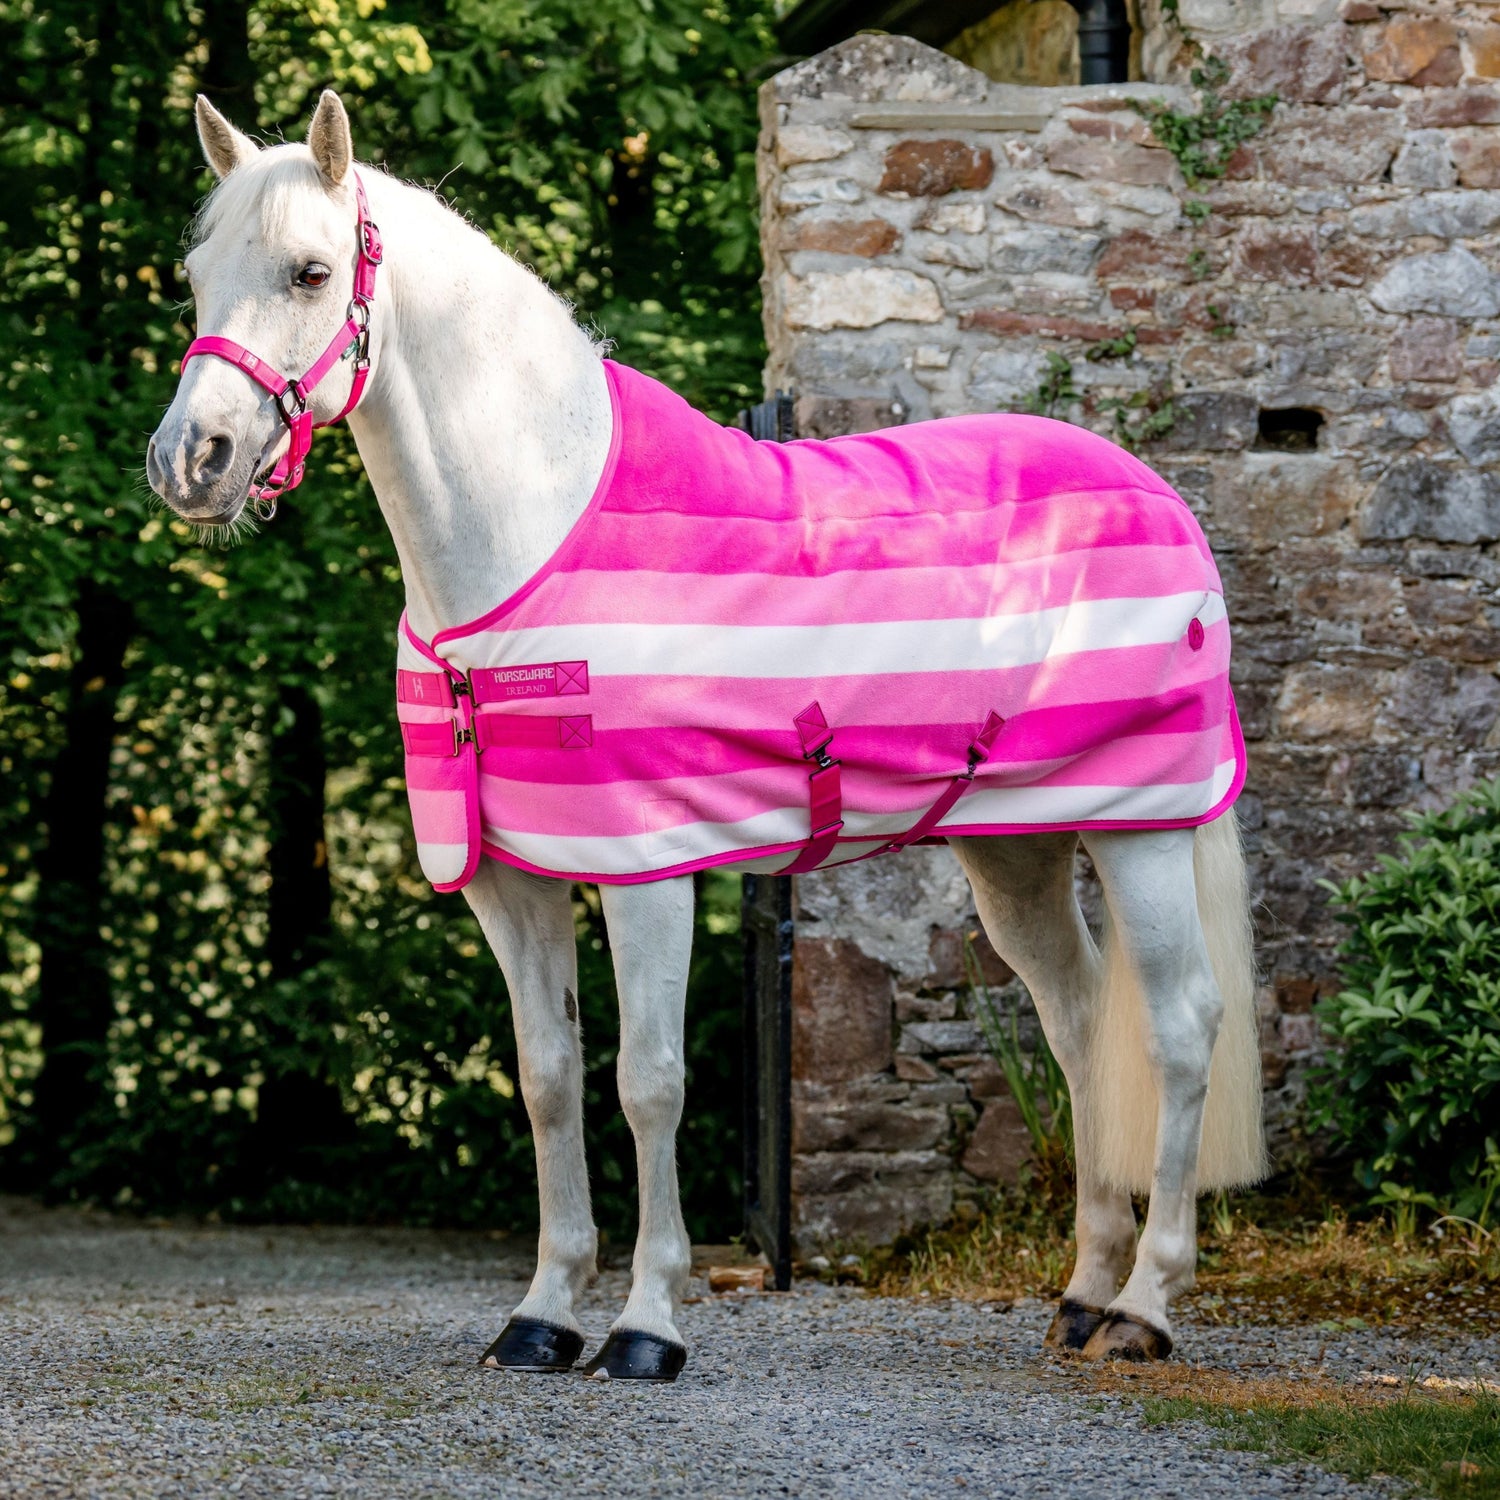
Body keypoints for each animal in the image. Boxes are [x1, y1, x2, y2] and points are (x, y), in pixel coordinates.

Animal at [146, 89, 1266, 1381]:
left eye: (311, 271)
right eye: (196, 275)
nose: (189, 462)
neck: (529, 538)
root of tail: (1158, 494)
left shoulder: (648, 872)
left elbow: (650, 1083)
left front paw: (646, 1325)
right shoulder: (512, 883)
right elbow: (547, 1079)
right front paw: (541, 1316)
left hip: (1142, 827)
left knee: (1177, 1029)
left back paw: (1144, 1307)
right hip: (1017, 848)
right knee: (1079, 1021)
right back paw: (1081, 1293)